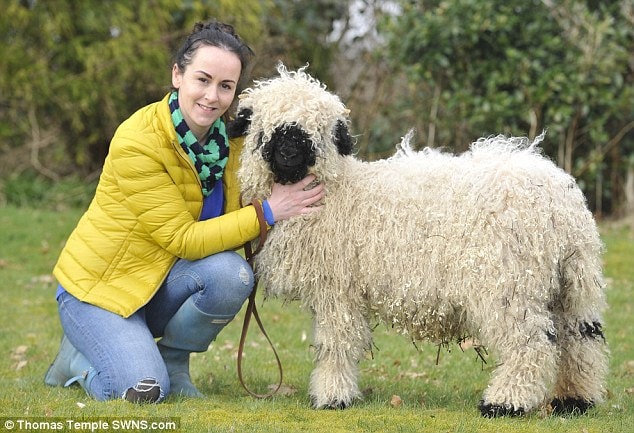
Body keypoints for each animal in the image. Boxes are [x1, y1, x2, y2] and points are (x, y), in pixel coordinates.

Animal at [227, 64, 608, 416]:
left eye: (315, 131)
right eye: (268, 127)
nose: (289, 154)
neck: (337, 192)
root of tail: (562, 204)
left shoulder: (338, 287)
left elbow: (337, 343)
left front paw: (333, 396)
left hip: (509, 282)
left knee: (531, 344)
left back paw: (505, 402)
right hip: (571, 282)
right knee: (580, 339)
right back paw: (575, 400)